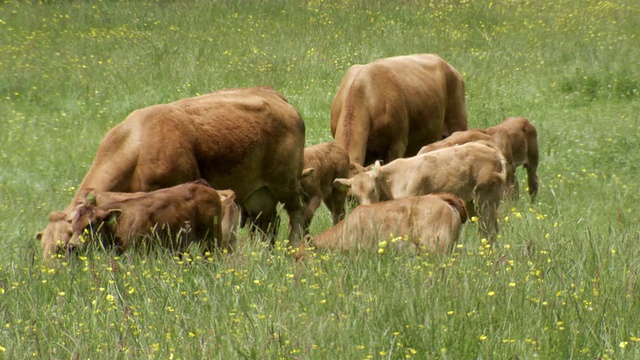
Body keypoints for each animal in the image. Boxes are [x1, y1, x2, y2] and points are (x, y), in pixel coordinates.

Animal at [336, 142, 504, 240]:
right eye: (354, 195)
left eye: (372, 190)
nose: (366, 207)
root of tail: (494, 152)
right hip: (471, 202)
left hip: (486, 200)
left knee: (490, 229)